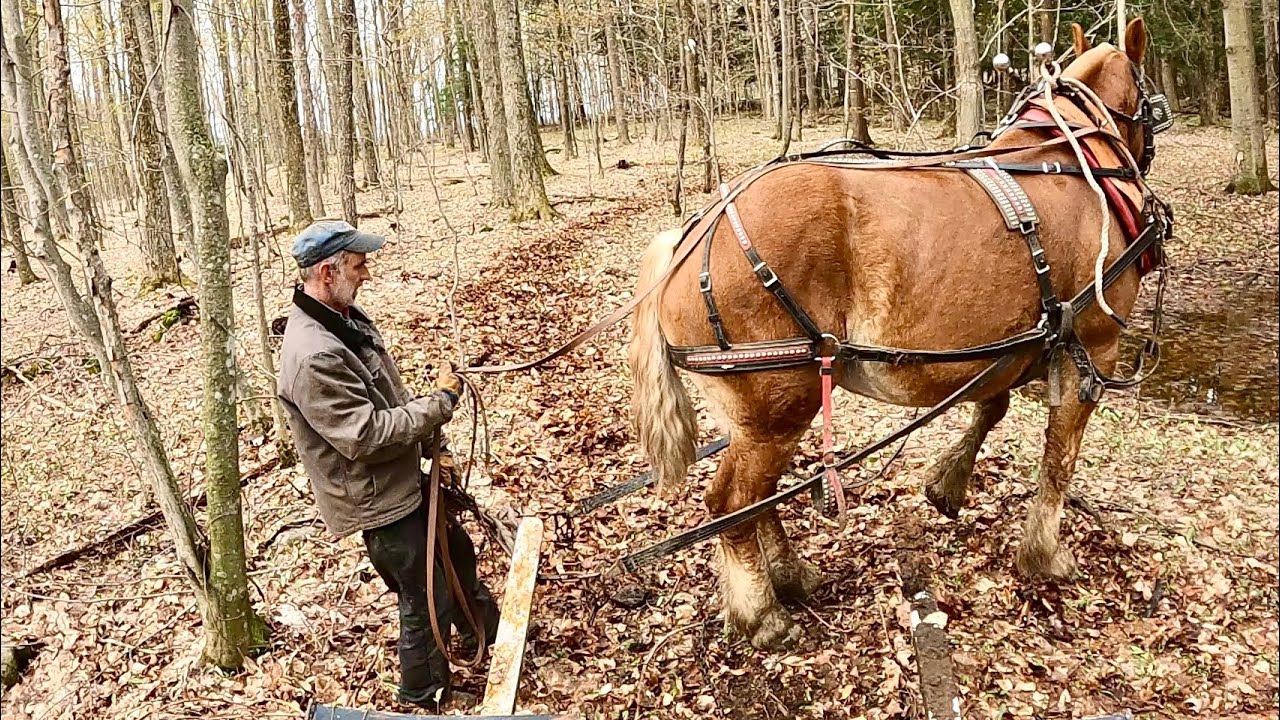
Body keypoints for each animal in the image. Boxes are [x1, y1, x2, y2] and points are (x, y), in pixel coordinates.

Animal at [628, 20, 1161, 650]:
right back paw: (763, 614)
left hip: (755, 415)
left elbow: (994, 406)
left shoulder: (1011, 344)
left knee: (757, 503)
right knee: (732, 502)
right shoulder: (1092, 350)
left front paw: (947, 484)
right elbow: (1059, 459)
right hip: (778, 405)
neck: (1076, 162)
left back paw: (791, 576)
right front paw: (1044, 554)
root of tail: (689, 237)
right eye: (1149, 92)